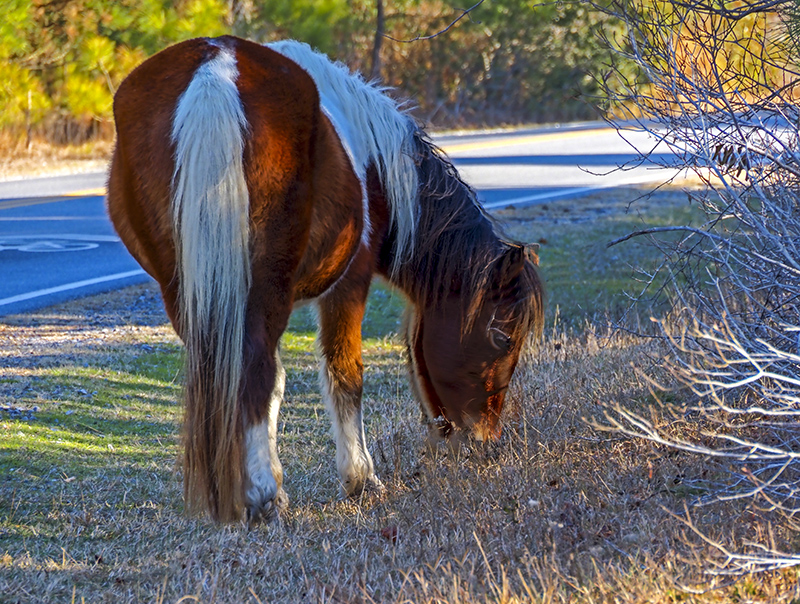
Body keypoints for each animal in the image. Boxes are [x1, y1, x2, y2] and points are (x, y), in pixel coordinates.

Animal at [107, 35, 544, 524]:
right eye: (502, 339)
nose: (485, 442)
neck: (375, 167)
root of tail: (215, 70)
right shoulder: (348, 284)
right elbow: (344, 376)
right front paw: (361, 479)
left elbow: (276, 385)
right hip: (264, 289)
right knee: (254, 369)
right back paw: (262, 497)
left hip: (186, 291)